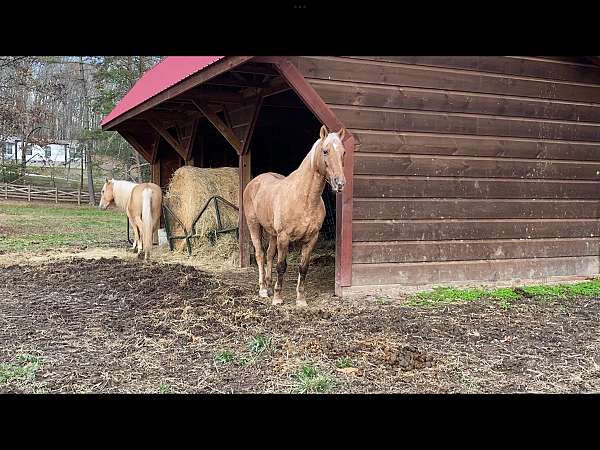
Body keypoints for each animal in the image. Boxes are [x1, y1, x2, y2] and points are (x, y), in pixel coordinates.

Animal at [243, 125, 346, 308]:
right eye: (325, 151)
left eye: (343, 152)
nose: (339, 183)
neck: (304, 198)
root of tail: (254, 182)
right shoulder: (284, 237)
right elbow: (281, 266)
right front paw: (278, 298)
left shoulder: (311, 238)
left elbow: (303, 267)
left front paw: (301, 299)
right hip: (254, 225)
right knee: (260, 254)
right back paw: (263, 290)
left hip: (272, 233)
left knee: (269, 254)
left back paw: (269, 286)